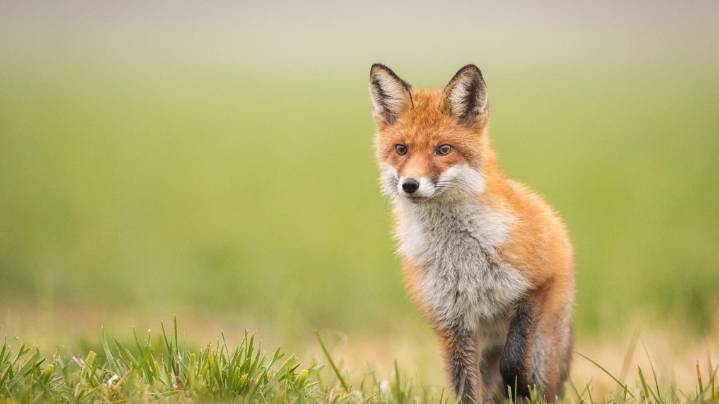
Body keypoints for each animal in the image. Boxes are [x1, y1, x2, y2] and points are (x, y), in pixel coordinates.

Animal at [369, 64, 575, 403]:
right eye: (401, 149)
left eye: (443, 149)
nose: (409, 184)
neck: (461, 257)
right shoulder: (451, 321)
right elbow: (465, 386)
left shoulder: (536, 285)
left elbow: (513, 360)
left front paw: (521, 386)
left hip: (544, 344)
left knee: (544, 381)